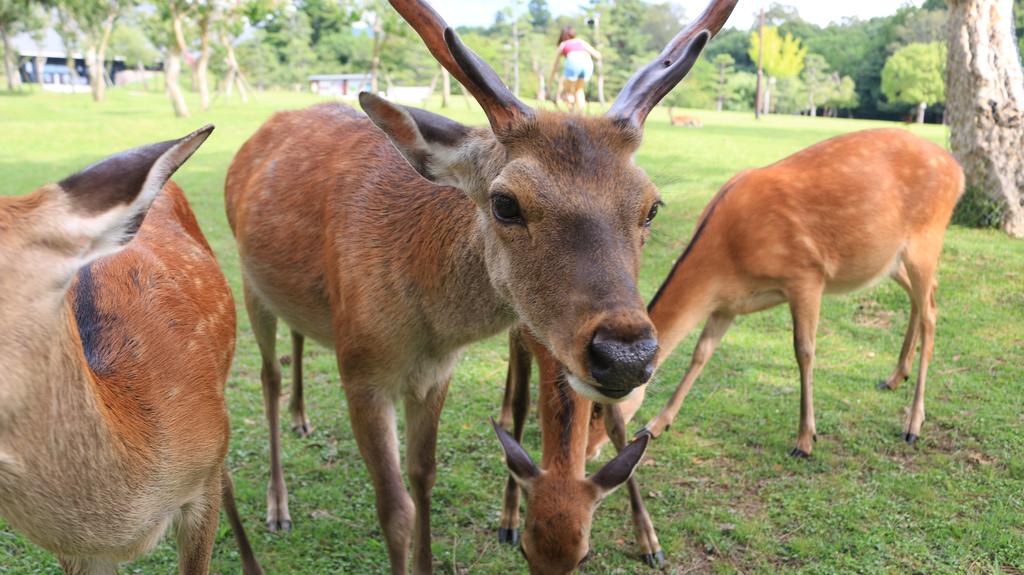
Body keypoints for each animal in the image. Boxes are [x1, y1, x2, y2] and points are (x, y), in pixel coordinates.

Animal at [224, 0, 737, 568]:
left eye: (651, 207)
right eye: (505, 203)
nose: (625, 355)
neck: (424, 327)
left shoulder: (435, 374)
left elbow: (424, 478)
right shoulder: (359, 370)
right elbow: (394, 509)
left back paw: (302, 418)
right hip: (248, 283)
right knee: (267, 377)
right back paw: (278, 506)